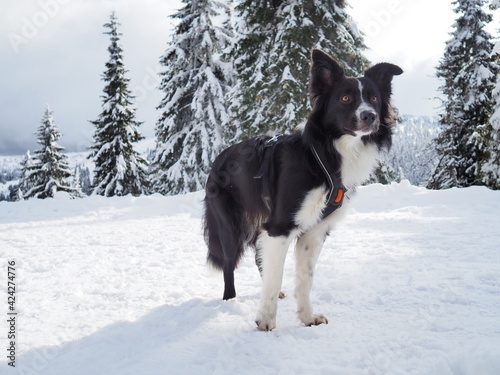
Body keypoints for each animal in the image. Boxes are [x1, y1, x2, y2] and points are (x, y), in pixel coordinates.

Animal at [203, 47, 402, 332]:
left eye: (374, 98)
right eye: (345, 98)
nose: (370, 116)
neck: (324, 157)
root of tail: (219, 156)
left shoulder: (314, 231)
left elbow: (305, 278)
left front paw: (308, 317)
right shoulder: (280, 225)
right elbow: (275, 276)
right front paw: (265, 321)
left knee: (260, 257)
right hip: (230, 225)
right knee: (230, 263)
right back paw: (230, 300)